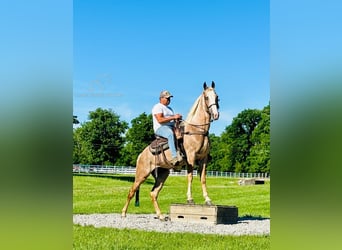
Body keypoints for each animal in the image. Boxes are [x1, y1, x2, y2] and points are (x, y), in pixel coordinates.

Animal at [121, 81, 220, 220]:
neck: (197, 131)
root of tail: (141, 155)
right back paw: (123, 213)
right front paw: (190, 199)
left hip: (163, 174)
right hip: (142, 174)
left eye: (216, 97)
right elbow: (190, 177)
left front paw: (208, 200)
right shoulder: (191, 157)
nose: (216, 115)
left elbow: (203, 179)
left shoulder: (203, 159)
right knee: (132, 191)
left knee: (153, 193)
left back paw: (161, 216)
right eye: (206, 97)